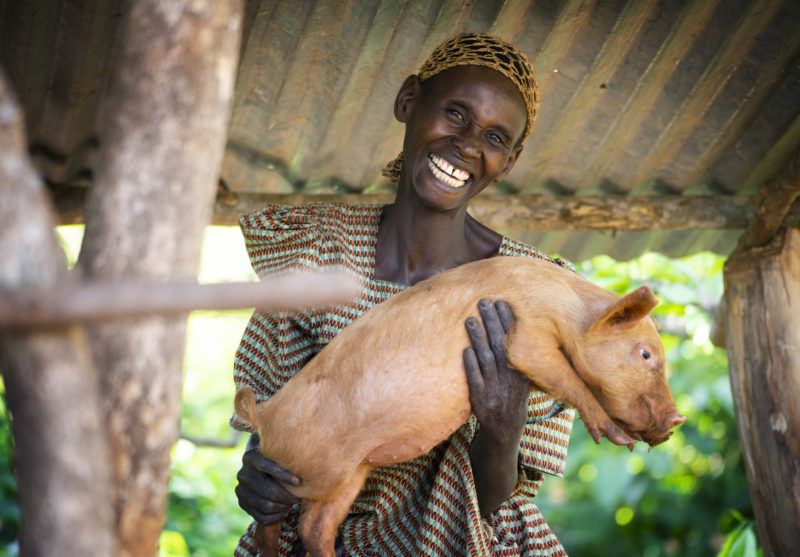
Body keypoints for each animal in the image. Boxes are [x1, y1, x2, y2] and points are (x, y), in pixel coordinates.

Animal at [234, 254, 684, 552]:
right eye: (646, 354)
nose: (676, 419)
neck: (568, 310)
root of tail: (266, 414)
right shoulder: (525, 335)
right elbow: (568, 378)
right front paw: (617, 438)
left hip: (345, 477)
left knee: (311, 526)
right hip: (300, 468)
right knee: (272, 516)